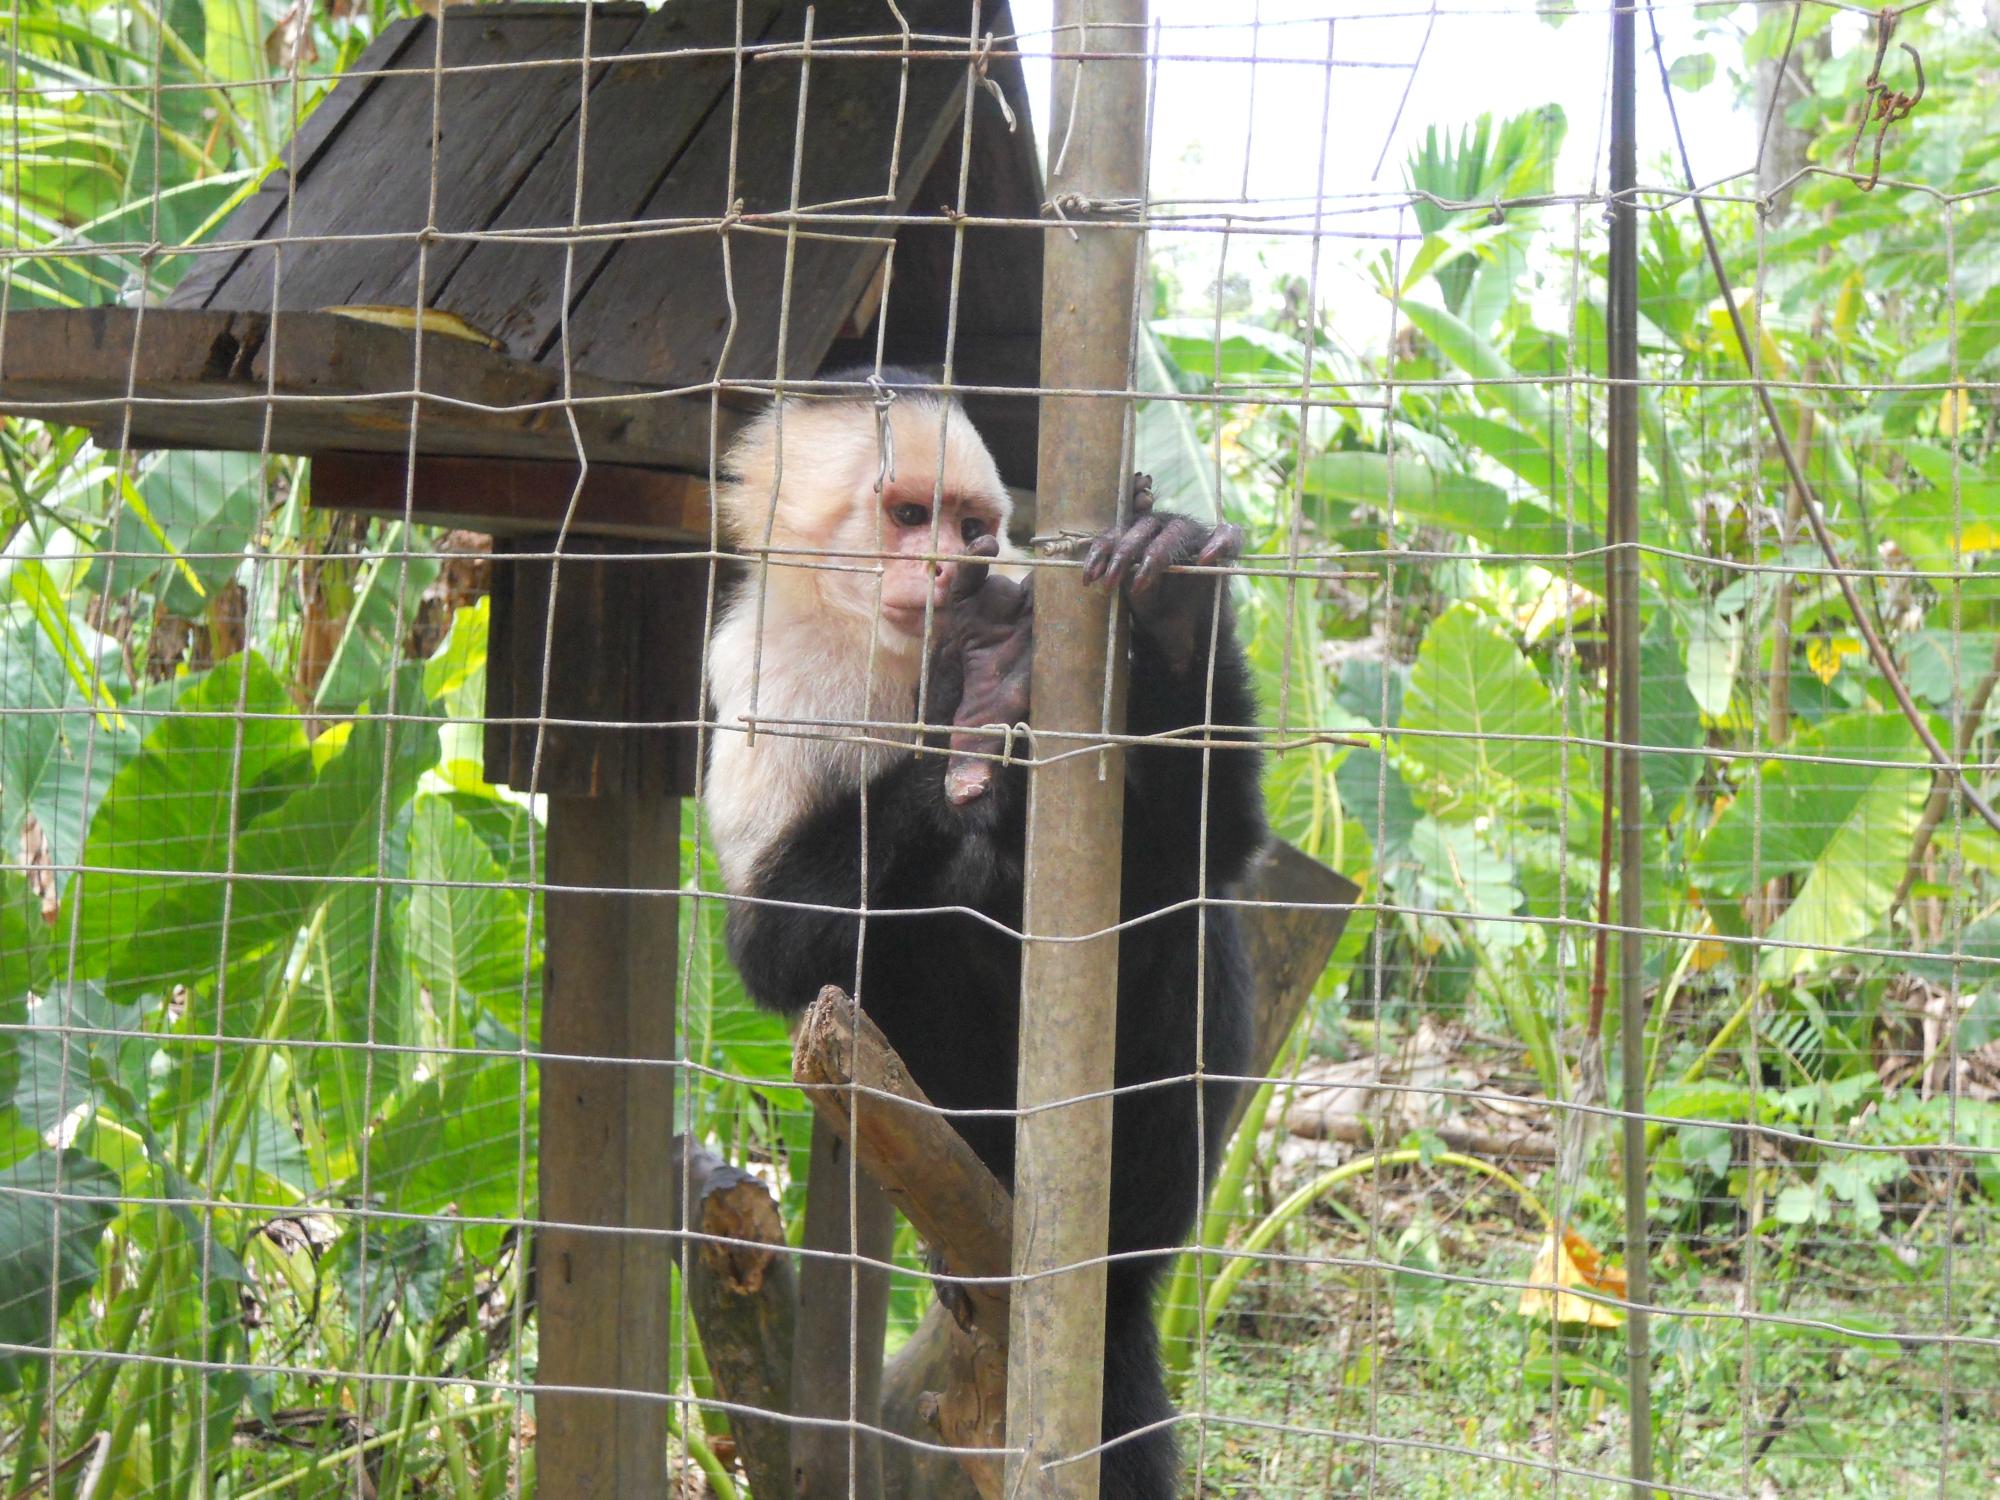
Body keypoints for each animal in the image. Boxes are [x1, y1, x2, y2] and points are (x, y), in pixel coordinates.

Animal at [704, 368, 1264, 1500]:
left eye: (972, 526)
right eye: (907, 514)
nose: (950, 565)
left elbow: (1208, 845)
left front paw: (1174, 609)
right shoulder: (760, 680)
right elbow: (771, 948)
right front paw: (962, 731)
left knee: (1182, 910)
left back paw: (1113, 1234)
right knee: (912, 951)